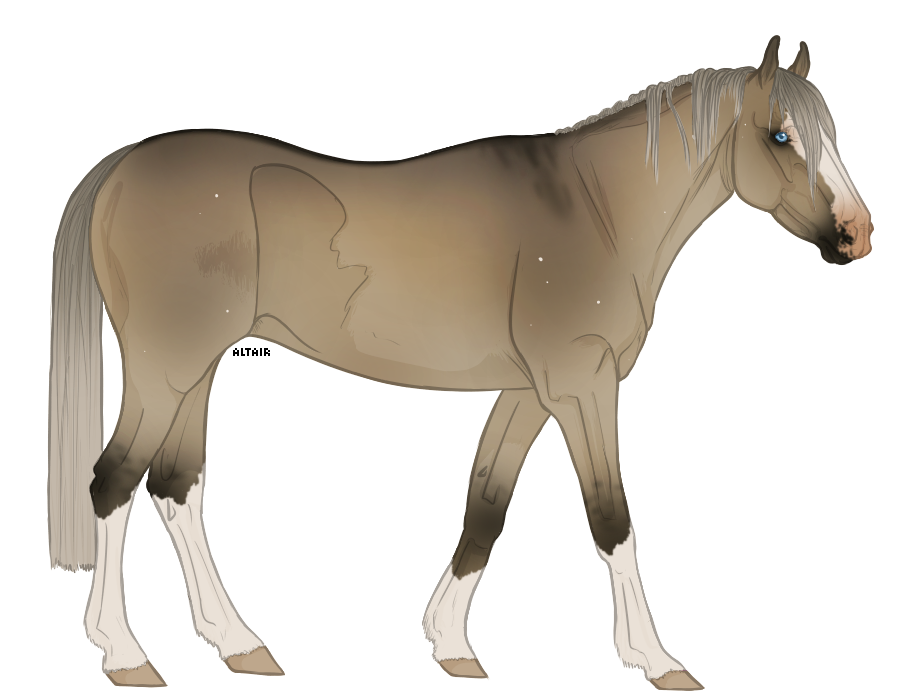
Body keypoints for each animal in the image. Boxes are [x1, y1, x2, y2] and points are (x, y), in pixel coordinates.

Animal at [47, 35, 872, 688]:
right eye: (779, 137)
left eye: (828, 134)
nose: (857, 234)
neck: (595, 210)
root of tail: (123, 166)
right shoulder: (580, 386)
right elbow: (612, 520)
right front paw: (657, 660)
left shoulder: (529, 392)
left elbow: (487, 503)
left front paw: (450, 645)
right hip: (167, 365)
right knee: (114, 481)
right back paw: (124, 656)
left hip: (198, 365)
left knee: (175, 486)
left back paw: (238, 644)